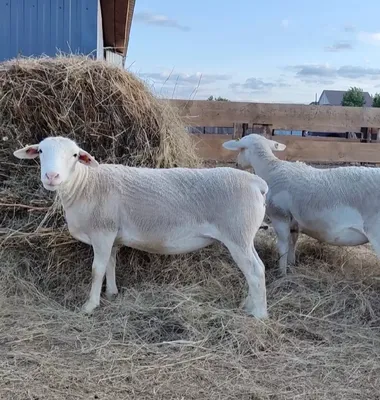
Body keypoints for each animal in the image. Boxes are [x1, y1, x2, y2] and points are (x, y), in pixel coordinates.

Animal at [14, 137, 268, 318]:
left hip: (237, 233)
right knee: (258, 267)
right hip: (245, 236)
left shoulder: (102, 231)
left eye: (75, 155)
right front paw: (112, 293)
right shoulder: (112, 235)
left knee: (255, 271)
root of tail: (256, 182)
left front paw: (90, 305)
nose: (51, 176)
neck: (85, 185)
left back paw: (259, 315)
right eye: (41, 151)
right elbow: (111, 264)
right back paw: (248, 305)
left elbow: (97, 269)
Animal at [221, 133, 380, 276]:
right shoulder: (294, 223)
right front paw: (291, 266)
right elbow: (293, 243)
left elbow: (283, 246)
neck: (271, 169)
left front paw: (282, 274)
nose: (237, 163)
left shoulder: (280, 216)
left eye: (241, 149)